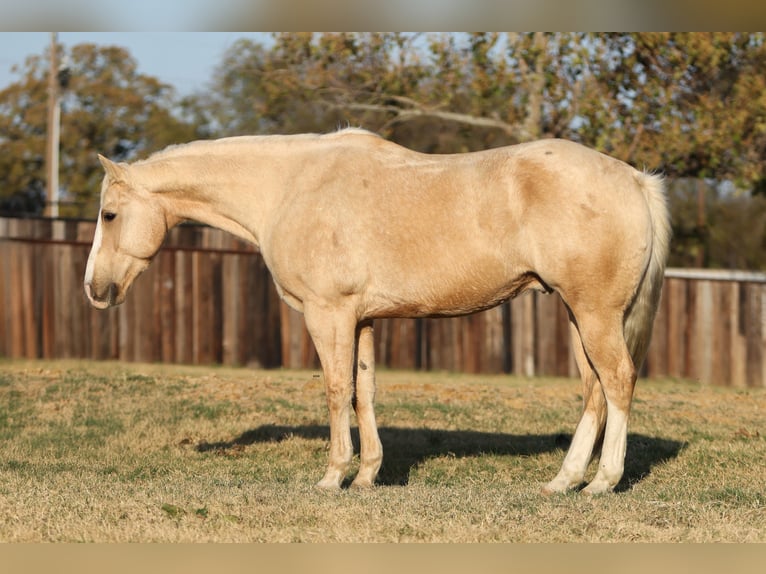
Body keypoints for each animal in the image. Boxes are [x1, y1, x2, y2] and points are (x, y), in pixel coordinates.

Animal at [84, 128, 670, 494]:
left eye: (109, 214)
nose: (94, 289)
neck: (289, 187)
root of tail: (635, 179)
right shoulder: (361, 319)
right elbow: (363, 390)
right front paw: (367, 476)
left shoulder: (327, 315)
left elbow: (335, 390)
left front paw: (332, 477)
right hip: (579, 315)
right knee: (595, 392)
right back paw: (564, 481)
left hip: (594, 314)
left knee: (618, 382)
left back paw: (602, 482)